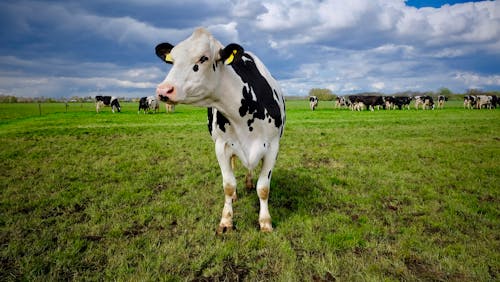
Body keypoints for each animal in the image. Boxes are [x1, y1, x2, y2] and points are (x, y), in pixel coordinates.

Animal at [152, 27, 286, 232]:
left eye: (204, 58)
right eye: (172, 60)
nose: (164, 90)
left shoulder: (272, 147)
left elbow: (263, 188)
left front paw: (265, 222)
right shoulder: (221, 146)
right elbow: (228, 185)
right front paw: (226, 220)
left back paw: (248, 183)